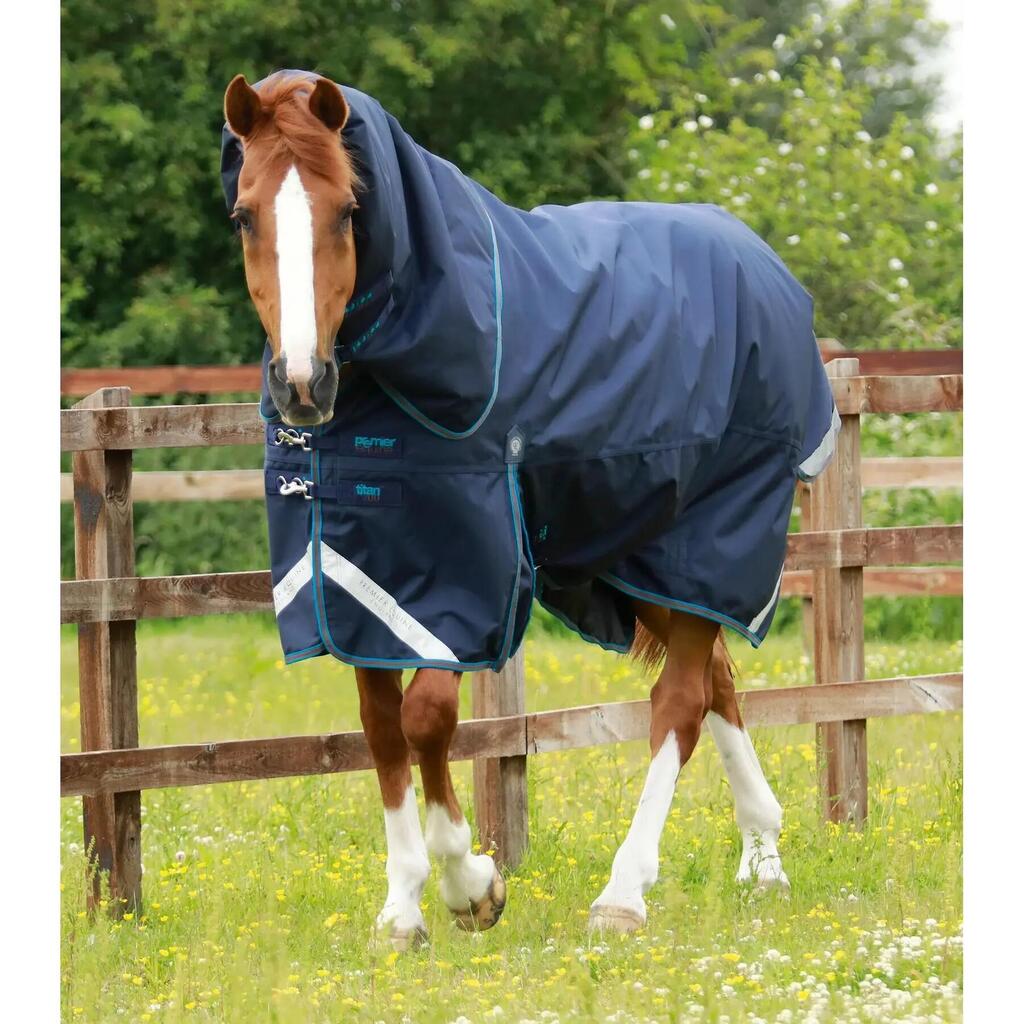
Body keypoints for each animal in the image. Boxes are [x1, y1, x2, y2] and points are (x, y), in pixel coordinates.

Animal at [222, 70, 833, 950]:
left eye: (346, 210)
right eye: (244, 214)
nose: (303, 383)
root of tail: (765, 266)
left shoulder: (461, 578)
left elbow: (428, 719)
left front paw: (471, 883)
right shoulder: (364, 577)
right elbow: (381, 727)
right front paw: (402, 910)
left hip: (710, 540)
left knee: (679, 702)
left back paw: (624, 893)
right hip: (638, 554)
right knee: (716, 682)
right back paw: (765, 860)